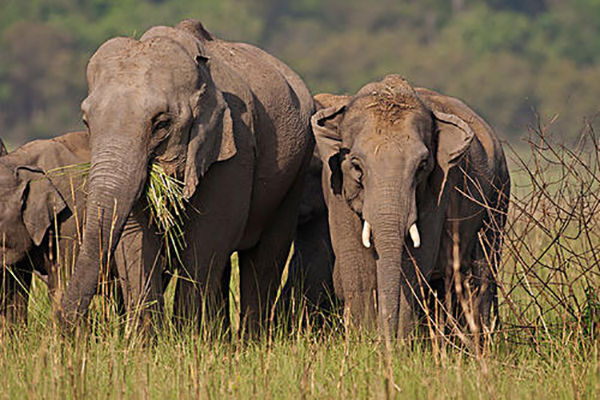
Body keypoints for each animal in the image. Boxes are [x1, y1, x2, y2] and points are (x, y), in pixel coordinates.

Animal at [58, 18, 316, 334]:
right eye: (86, 122)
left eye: (161, 123)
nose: (67, 328)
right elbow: (135, 239)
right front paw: (148, 339)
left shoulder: (235, 145)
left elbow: (208, 238)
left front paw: (187, 337)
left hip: (296, 169)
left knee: (265, 258)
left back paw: (252, 339)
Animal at [312, 75, 508, 338]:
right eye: (356, 165)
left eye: (422, 166)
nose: (385, 335)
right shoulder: (335, 187)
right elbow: (356, 261)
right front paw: (364, 340)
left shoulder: (440, 187)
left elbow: (417, 259)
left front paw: (400, 343)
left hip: (498, 196)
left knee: (482, 271)